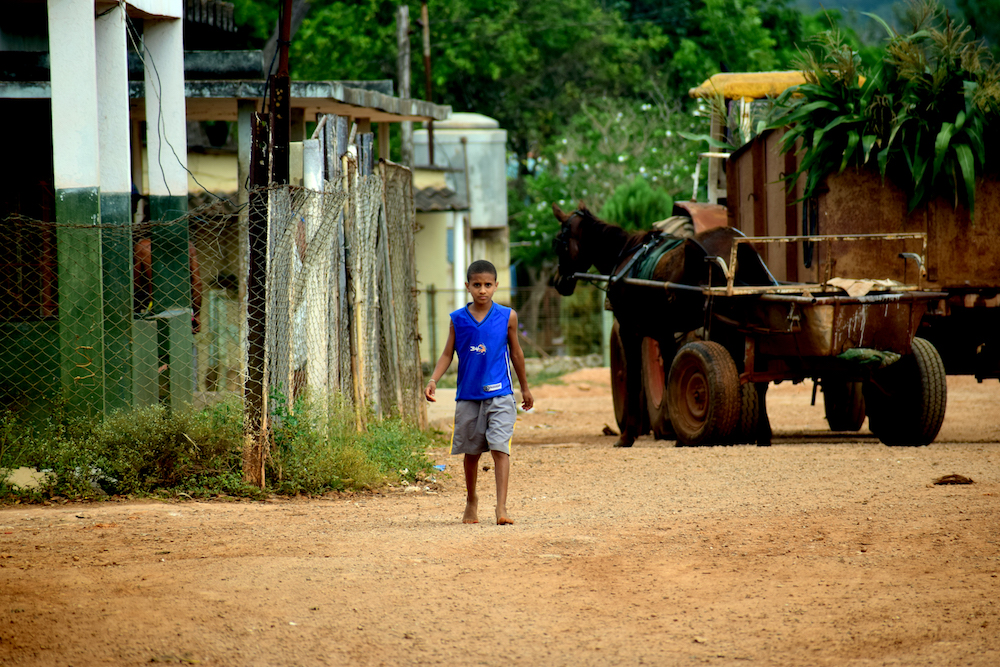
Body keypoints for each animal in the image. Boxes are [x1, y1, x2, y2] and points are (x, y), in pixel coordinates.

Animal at [552, 204, 776, 448]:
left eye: (560, 243)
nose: (557, 281)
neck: (626, 258)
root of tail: (740, 247)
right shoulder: (664, 333)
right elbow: (670, 376)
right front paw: (678, 430)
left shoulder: (629, 331)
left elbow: (633, 380)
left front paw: (627, 436)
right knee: (758, 376)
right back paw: (762, 433)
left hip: (725, 325)